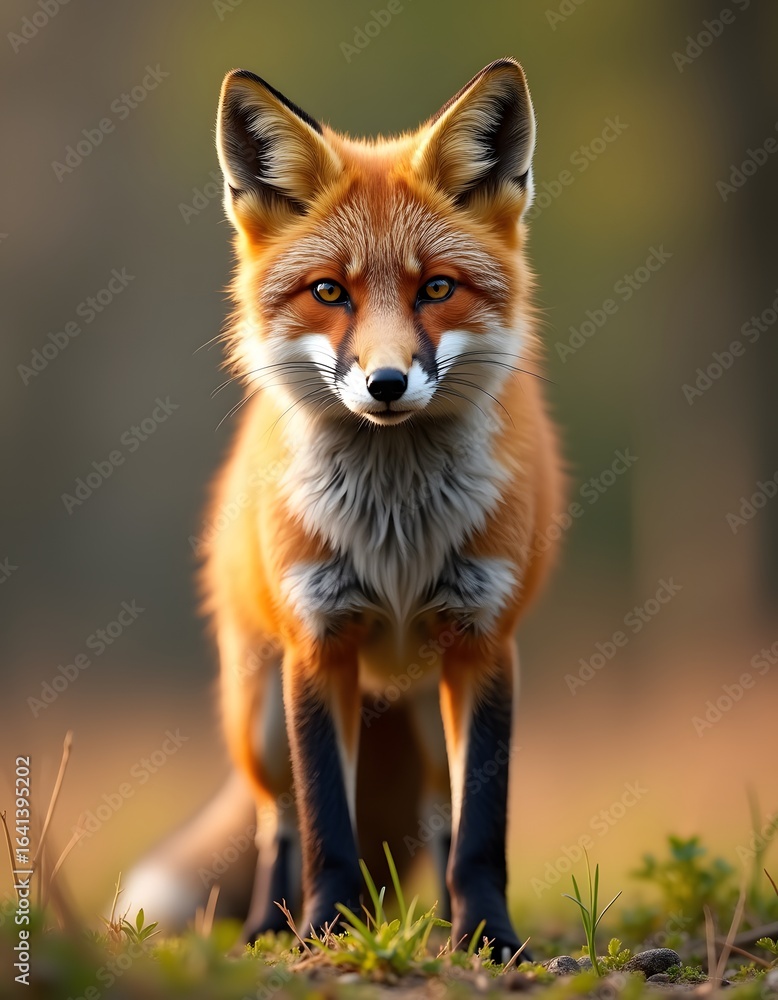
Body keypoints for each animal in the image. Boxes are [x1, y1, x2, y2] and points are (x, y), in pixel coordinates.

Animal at [125, 57, 564, 961]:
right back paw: (272, 928)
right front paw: (326, 929)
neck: (395, 531)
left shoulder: (484, 642)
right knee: (279, 821)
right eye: (330, 291)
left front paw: (488, 938)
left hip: (427, 705)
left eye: (437, 288)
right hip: (257, 715)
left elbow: (481, 831)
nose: (386, 383)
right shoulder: (318, 644)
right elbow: (329, 824)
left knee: (439, 814)